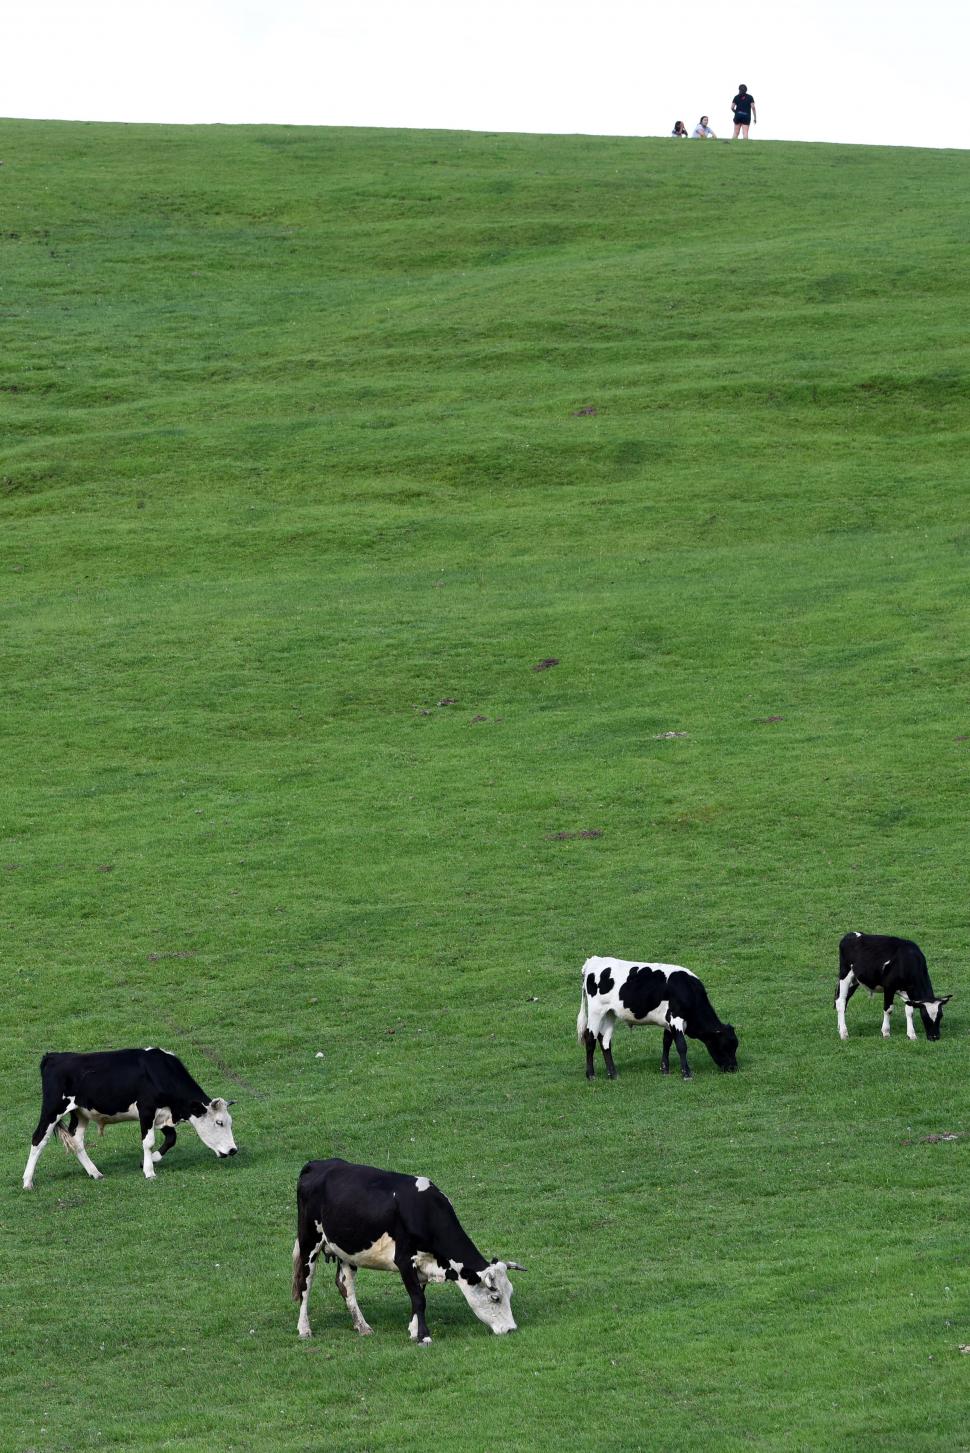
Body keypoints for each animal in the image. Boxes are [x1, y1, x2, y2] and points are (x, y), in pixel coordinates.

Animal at [22, 1046, 236, 1191]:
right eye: (219, 1122)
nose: (233, 1150)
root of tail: (54, 1056)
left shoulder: (162, 1115)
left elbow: (171, 1138)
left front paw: (151, 1160)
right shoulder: (146, 1109)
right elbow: (148, 1141)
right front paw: (149, 1171)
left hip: (81, 1113)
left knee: (76, 1141)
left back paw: (95, 1172)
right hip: (52, 1109)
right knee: (38, 1138)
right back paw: (27, 1181)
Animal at [293, 1156, 525, 1348]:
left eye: (510, 1292)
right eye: (495, 1297)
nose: (511, 1329)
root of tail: (318, 1164)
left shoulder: (422, 1264)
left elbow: (419, 1297)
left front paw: (414, 1331)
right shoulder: (404, 1259)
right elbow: (418, 1299)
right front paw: (424, 1336)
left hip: (347, 1250)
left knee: (345, 1285)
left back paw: (363, 1326)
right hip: (309, 1240)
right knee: (305, 1283)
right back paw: (304, 1329)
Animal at [575, 953, 734, 1081]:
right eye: (726, 1046)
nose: (734, 1068)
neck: (688, 990)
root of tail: (594, 960)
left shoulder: (668, 1021)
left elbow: (667, 1042)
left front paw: (665, 1069)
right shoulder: (676, 1018)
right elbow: (681, 1045)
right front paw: (686, 1073)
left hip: (609, 1013)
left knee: (605, 1041)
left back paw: (613, 1074)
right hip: (596, 1011)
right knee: (590, 1038)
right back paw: (591, 1075)